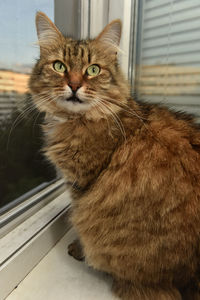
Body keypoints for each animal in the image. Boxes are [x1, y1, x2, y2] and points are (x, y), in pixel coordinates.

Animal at [29, 11, 200, 300]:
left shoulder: (82, 182)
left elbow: (78, 215)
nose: (74, 85)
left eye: (93, 70)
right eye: (60, 66)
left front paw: (78, 248)